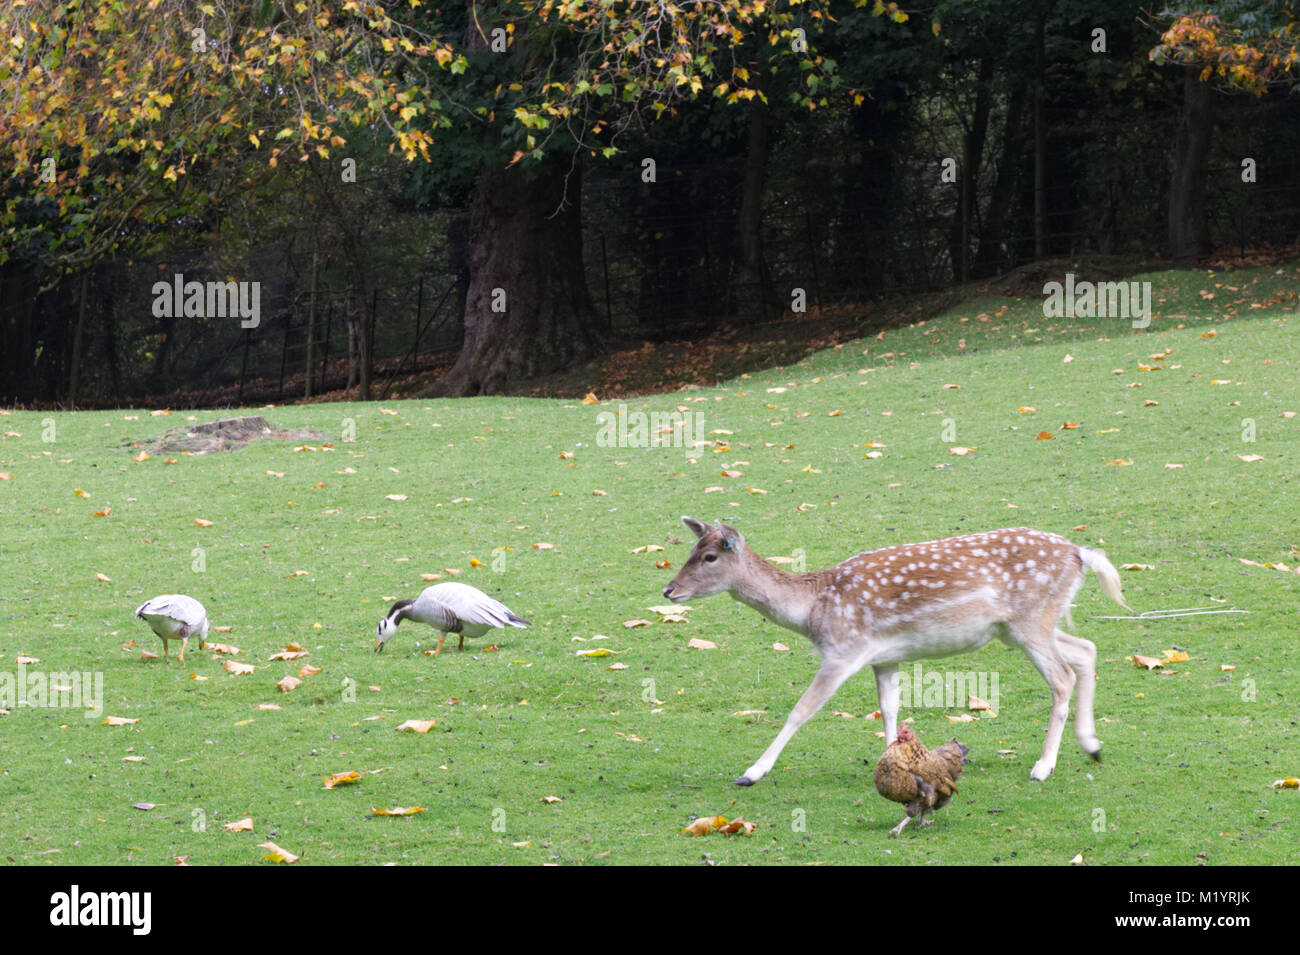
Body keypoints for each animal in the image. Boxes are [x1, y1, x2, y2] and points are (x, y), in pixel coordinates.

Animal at [660, 519, 1128, 789]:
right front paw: (894, 768)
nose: (668, 590)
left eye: (708, 556)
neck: (813, 610)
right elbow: (889, 708)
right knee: (1086, 650)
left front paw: (751, 772)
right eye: (690, 551)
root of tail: (1081, 554)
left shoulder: (843, 651)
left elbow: (802, 709)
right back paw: (1092, 746)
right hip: (1021, 627)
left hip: (1031, 620)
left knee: (1062, 676)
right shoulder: (884, 657)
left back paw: (1042, 766)